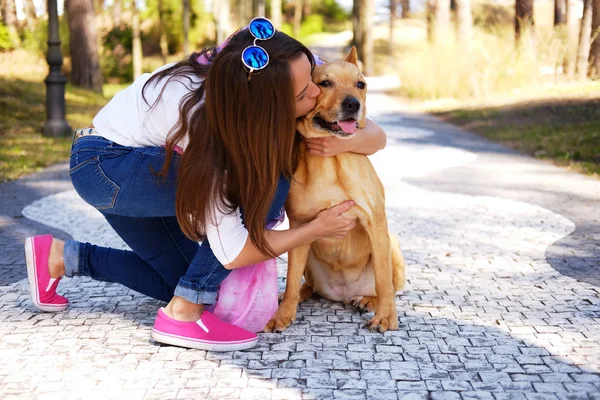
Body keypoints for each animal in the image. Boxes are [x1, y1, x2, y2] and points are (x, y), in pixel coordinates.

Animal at [264, 47, 406, 334]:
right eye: (325, 83)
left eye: (360, 84)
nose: (353, 104)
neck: (330, 160)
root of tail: (342, 293)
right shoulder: (301, 225)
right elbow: (292, 279)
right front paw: (282, 314)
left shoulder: (376, 222)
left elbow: (384, 280)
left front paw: (386, 317)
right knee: (304, 284)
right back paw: (291, 297)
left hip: (391, 242)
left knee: (387, 286)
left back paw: (369, 300)